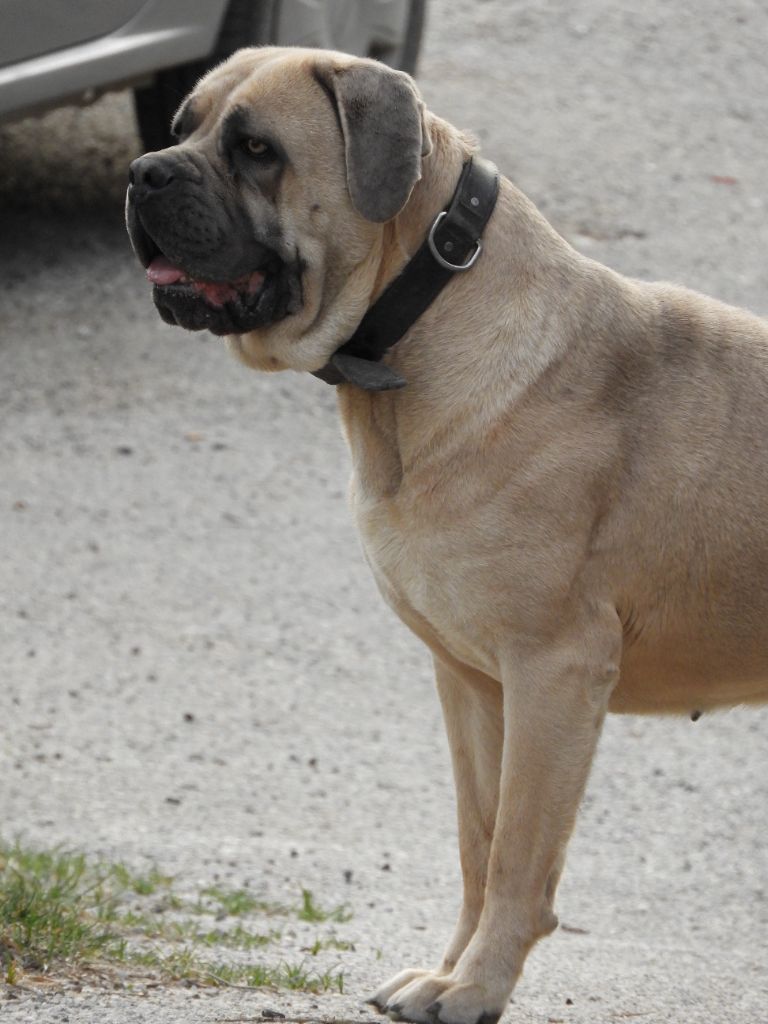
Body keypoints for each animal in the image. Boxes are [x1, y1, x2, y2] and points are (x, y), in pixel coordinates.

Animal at [126, 44, 768, 1019]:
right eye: (179, 127)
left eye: (257, 149)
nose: (142, 173)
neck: (421, 323)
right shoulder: (472, 680)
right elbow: (479, 839)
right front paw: (451, 969)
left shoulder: (555, 673)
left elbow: (518, 856)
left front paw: (477, 986)